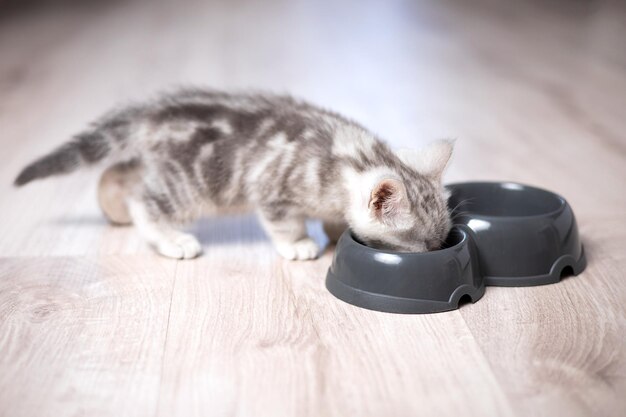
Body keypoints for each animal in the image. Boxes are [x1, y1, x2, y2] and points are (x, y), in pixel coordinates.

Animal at [14, 88, 450, 260]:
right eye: (426, 245)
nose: (439, 252)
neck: (348, 158)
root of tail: (152, 116)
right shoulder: (273, 189)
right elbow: (284, 222)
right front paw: (298, 244)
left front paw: (335, 229)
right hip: (190, 185)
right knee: (144, 199)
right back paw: (170, 238)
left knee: (119, 172)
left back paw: (113, 206)